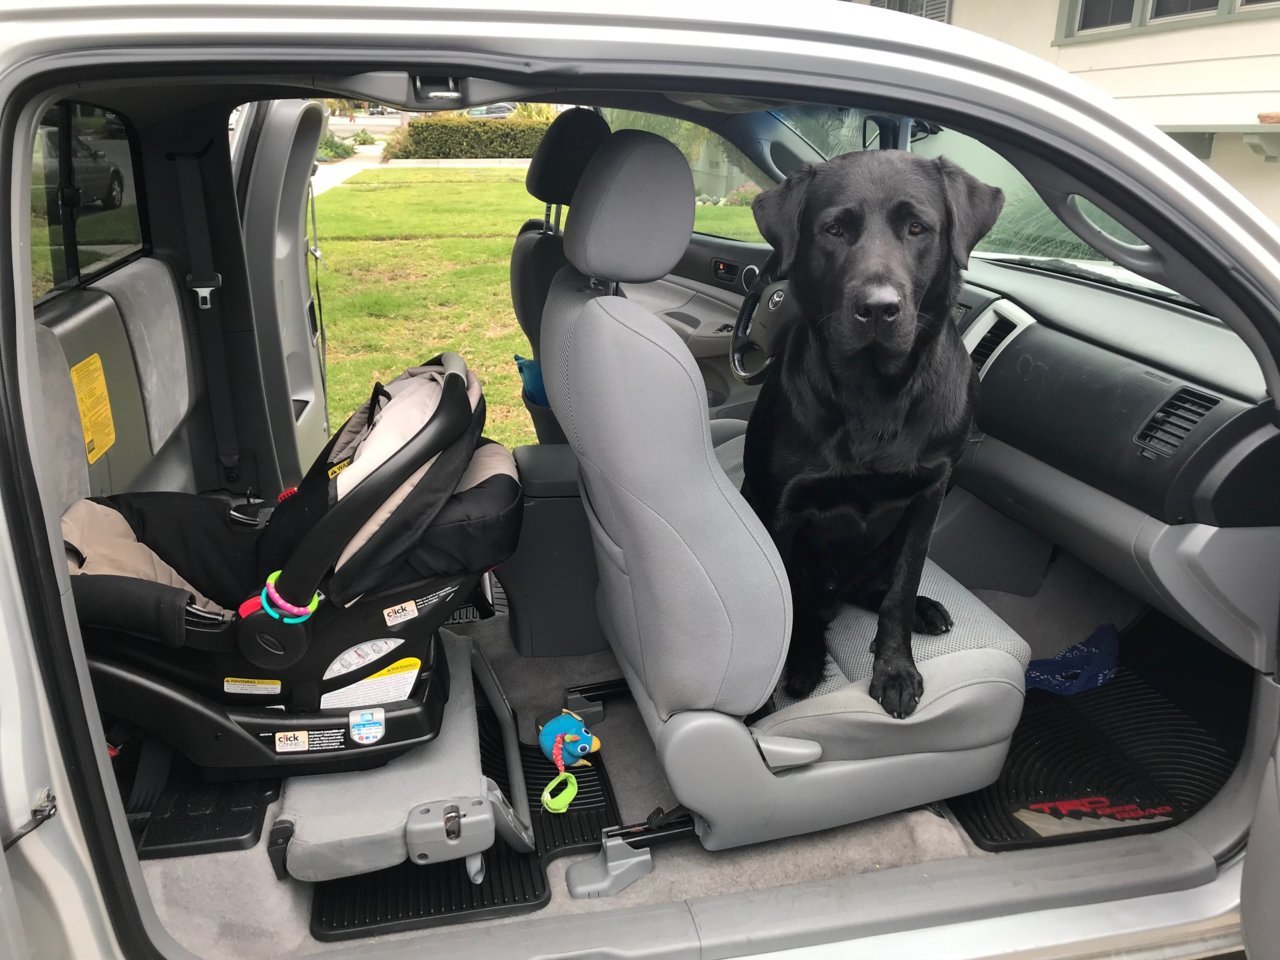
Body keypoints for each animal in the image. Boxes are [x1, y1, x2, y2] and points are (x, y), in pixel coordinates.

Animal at [747, 150, 1003, 716]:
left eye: (917, 228)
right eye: (835, 229)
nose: (879, 308)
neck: (874, 391)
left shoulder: (928, 494)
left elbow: (900, 591)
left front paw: (896, 669)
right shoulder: (779, 507)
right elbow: (787, 595)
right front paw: (792, 667)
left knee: (876, 589)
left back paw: (928, 610)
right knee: (811, 601)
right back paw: (805, 658)